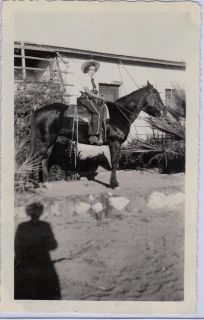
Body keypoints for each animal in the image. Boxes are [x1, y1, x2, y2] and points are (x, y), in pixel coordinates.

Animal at [31, 81, 167, 189]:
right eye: (156, 95)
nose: (164, 112)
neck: (120, 113)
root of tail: (38, 111)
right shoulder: (114, 142)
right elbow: (114, 162)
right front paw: (113, 184)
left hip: (51, 141)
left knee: (44, 159)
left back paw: (45, 183)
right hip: (45, 141)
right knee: (36, 158)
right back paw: (34, 183)